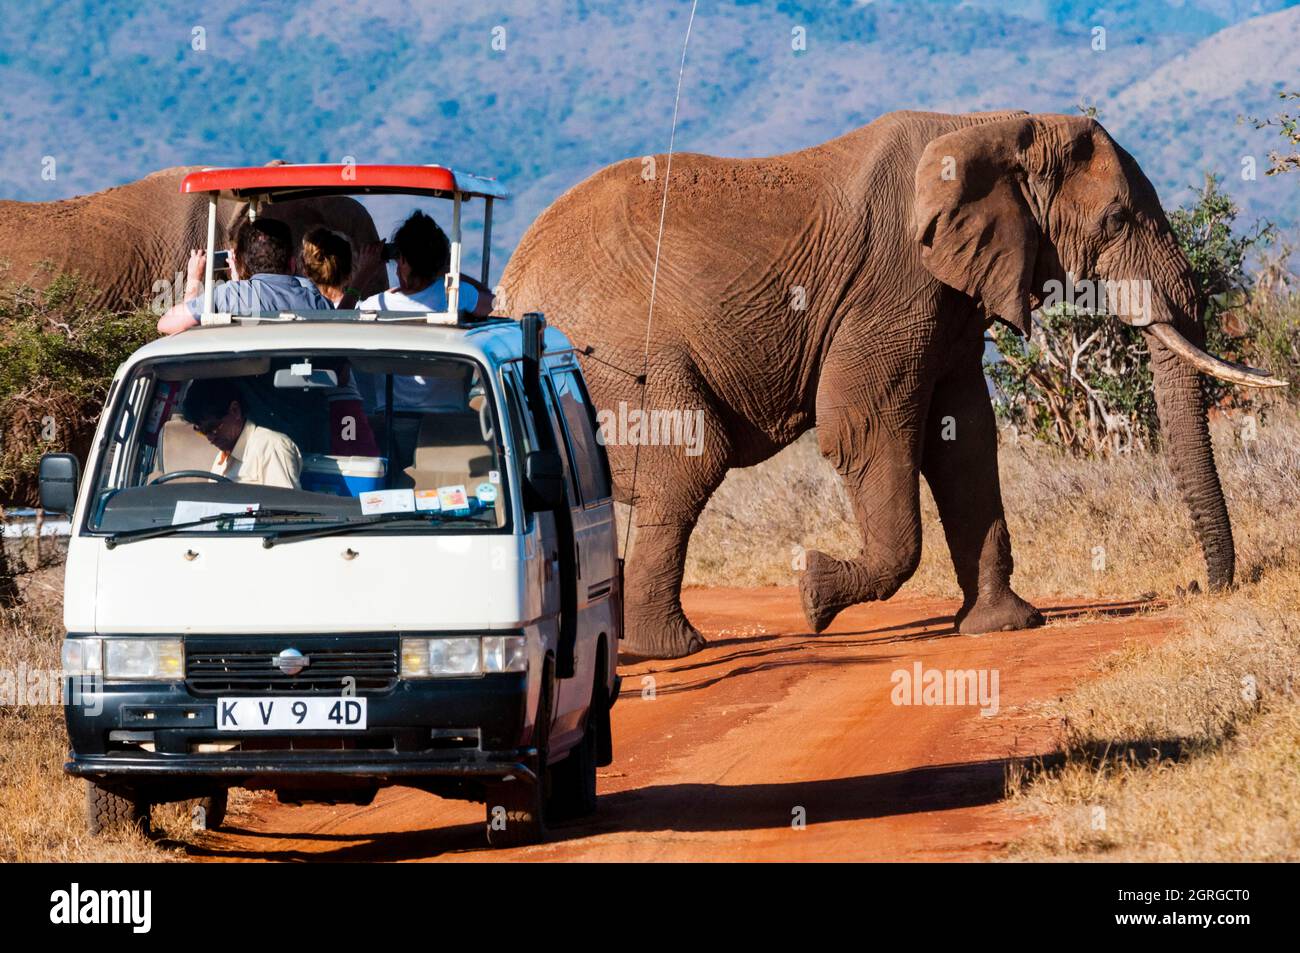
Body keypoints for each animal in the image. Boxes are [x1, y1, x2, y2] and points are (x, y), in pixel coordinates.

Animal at [501, 111, 1284, 657]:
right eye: (1116, 219)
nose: (1202, 587)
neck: (997, 124)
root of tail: (510, 280)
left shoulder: (952, 296)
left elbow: (965, 443)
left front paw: (1004, 626)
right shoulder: (893, 285)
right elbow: (862, 426)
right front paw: (813, 593)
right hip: (613, 355)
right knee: (687, 464)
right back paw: (670, 649)